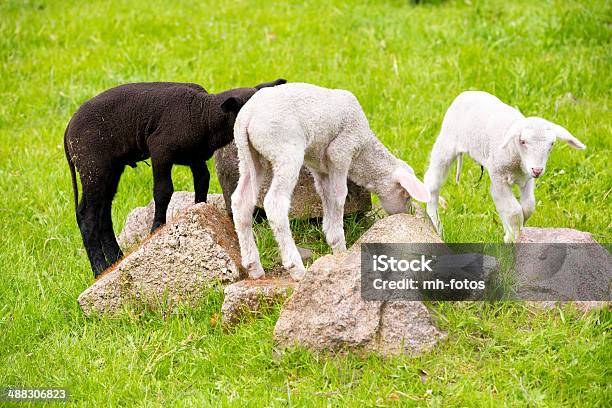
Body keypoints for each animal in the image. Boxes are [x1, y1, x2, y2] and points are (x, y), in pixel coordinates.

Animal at [63, 78, 288, 276]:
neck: (202, 115)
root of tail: (68, 131)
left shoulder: (196, 156)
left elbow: (202, 181)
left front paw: (199, 213)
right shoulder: (160, 149)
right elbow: (163, 190)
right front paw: (156, 229)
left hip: (110, 167)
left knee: (103, 212)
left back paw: (115, 258)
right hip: (93, 165)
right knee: (87, 215)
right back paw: (99, 268)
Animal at [231, 83, 430, 280]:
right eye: (406, 195)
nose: (405, 214)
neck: (363, 151)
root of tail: (247, 116)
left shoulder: (320, 168)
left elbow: (326, 198)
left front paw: (332, 239)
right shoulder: (340, 152)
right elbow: (339, 197)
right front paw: (341, 250)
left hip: (249, 158)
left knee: (241, 202)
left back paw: (253, 266)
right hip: (285, 151)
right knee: (275, 204)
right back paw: (297, 269)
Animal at [424, 91, 584, 242]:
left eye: (551, 144)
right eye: (523, 141)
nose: (538, 170)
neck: (517, 158)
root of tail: (469, 93)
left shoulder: (526, 177)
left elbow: (527, 207)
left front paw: (511, 234)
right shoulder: (499, 175)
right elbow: (514, 211)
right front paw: (514, 236)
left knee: (496, 195)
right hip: (447, 143)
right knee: (433, 183)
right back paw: (437, 226)